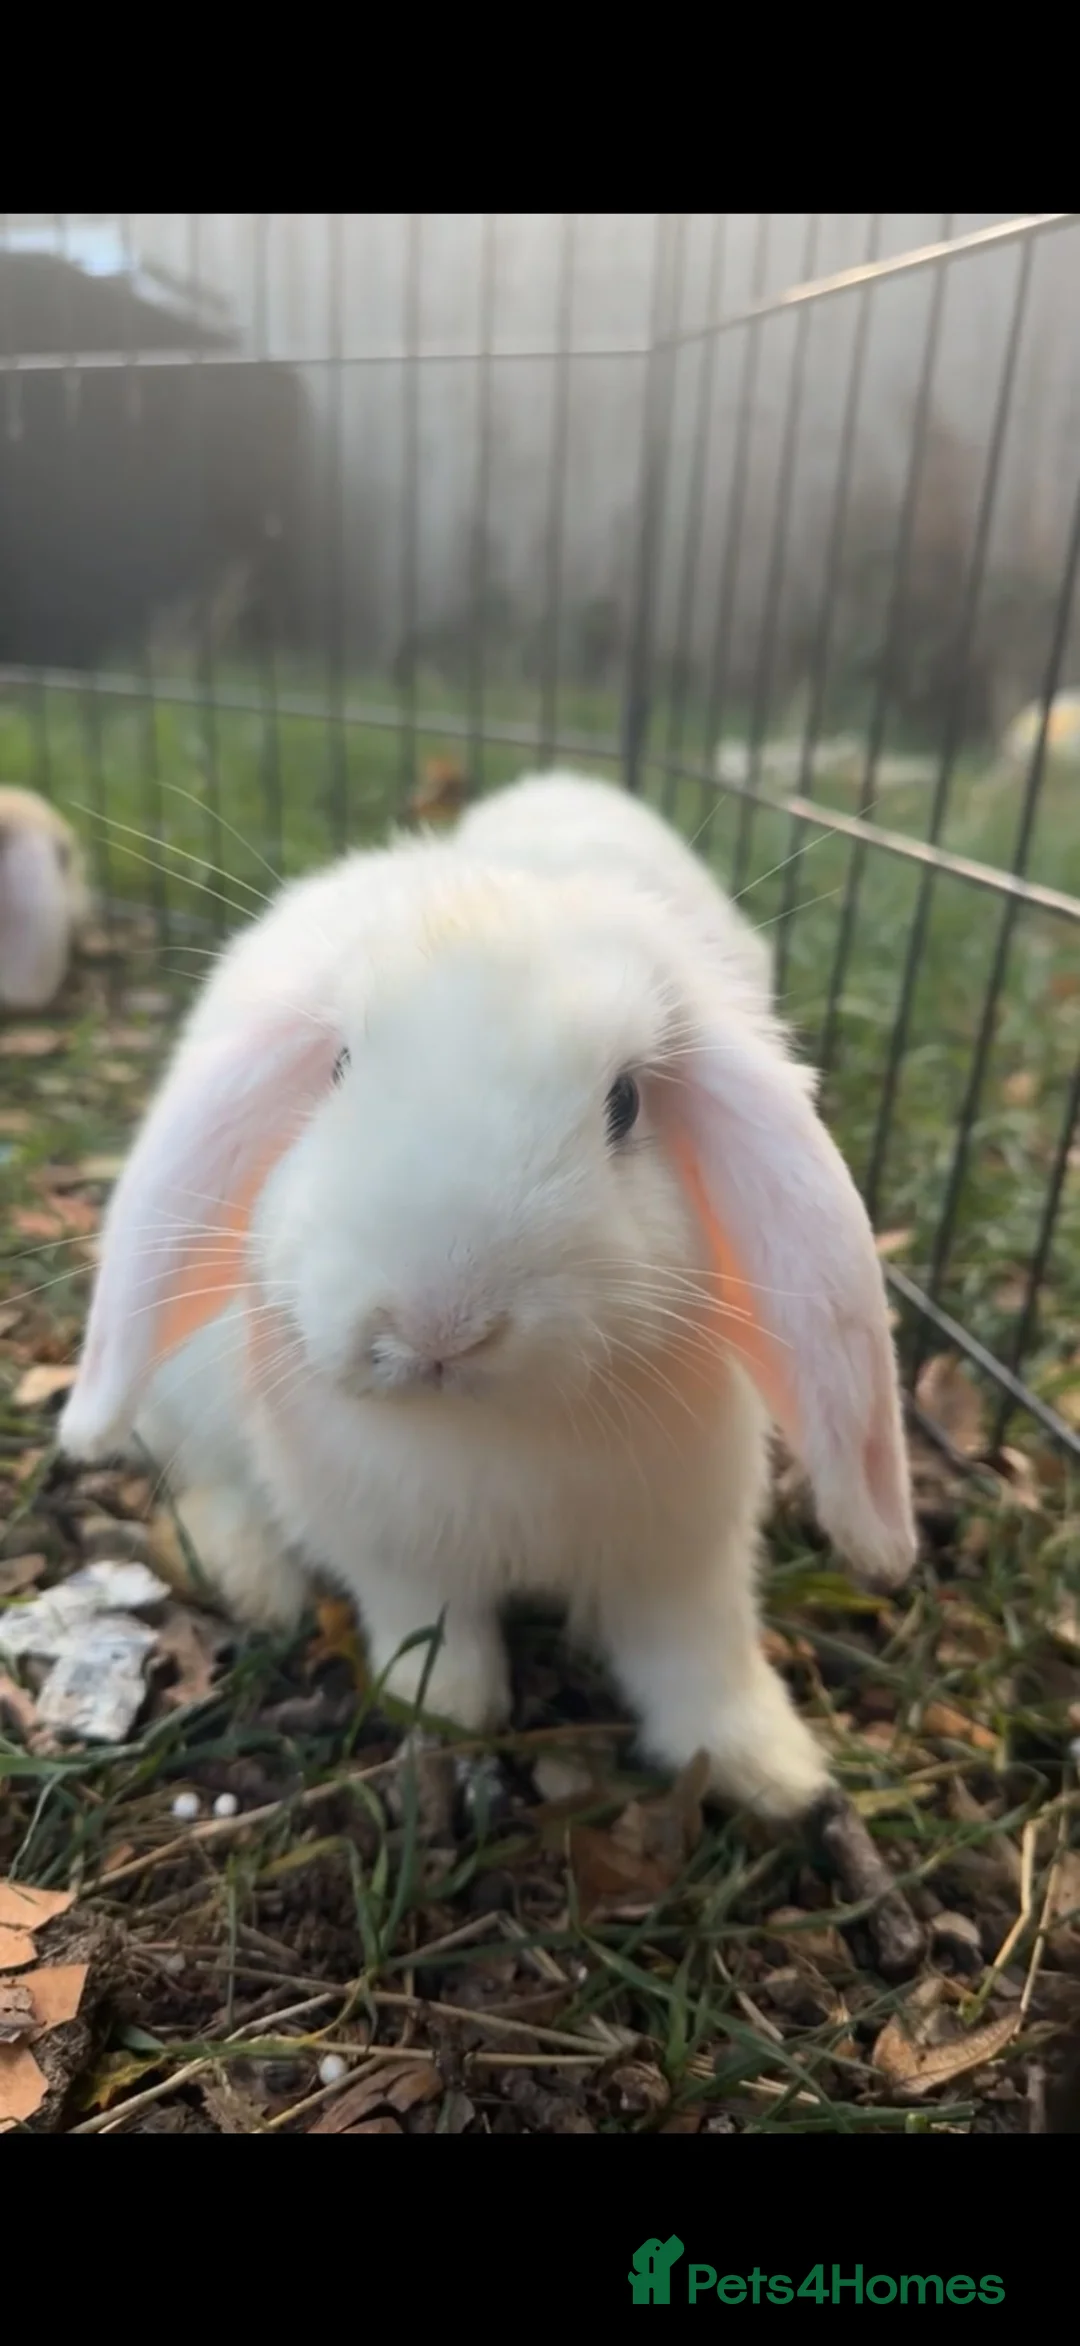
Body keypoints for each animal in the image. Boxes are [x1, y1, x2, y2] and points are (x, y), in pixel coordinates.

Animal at [59, 769, 916, 1821]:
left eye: (626, 1103)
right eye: (338, 1068)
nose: (437, 1327)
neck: (489, 1430)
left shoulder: (683, 1551)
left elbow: (697, 1657)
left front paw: (773, 1776)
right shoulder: (389, 1546)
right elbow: (431, 1626)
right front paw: (450, 1710)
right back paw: (256, 1580)